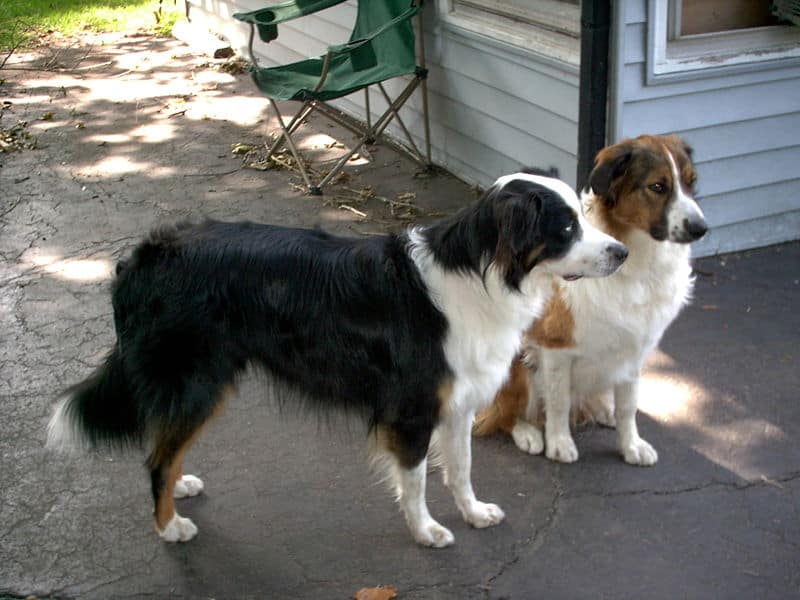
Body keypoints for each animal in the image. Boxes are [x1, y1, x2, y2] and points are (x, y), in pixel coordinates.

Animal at [47, 173, 628, 548]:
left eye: (583, 216)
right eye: (566, 229)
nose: (621, 253)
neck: (484, 273)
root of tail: (141, 257)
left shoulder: (458, 404)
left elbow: (460, 468)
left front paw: (473, 513)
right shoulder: (411, 412)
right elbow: (416, 479)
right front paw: (426, 532)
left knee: (164, 445)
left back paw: (181, 486)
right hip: (197, 380)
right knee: (156, 457)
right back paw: (169, 526)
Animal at [476, 135, 708, 464]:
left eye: (691, 182)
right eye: (658, 186)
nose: (701, 228)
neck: (639, 264)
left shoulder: (634, 348)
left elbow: (628, 405)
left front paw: (630, 445)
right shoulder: (555, 348)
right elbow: (558, 402)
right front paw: (559, 442)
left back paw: (601, 411)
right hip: (515, 364)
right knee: (501, 413)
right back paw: (527, 432)